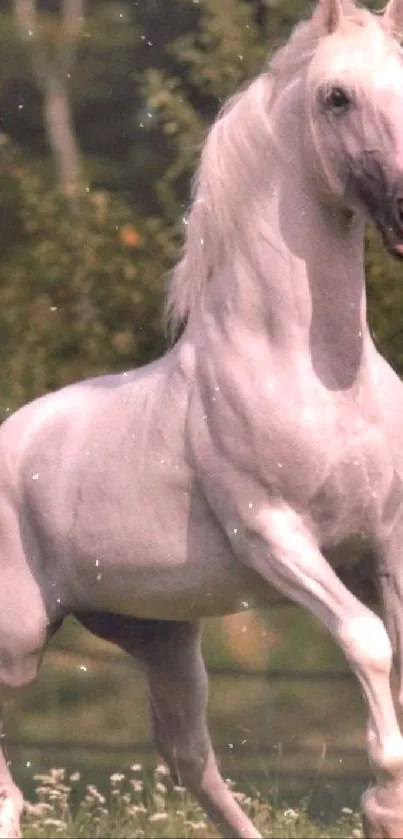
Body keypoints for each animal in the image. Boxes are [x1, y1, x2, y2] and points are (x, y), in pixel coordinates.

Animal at [0, 3, 403, 836]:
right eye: (336, 96)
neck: (317, 374)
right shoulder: (274, 536)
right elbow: (367, 641)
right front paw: (382, 800)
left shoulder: (385, 537)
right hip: (16, 642)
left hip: (159, 637)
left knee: (189, 756)